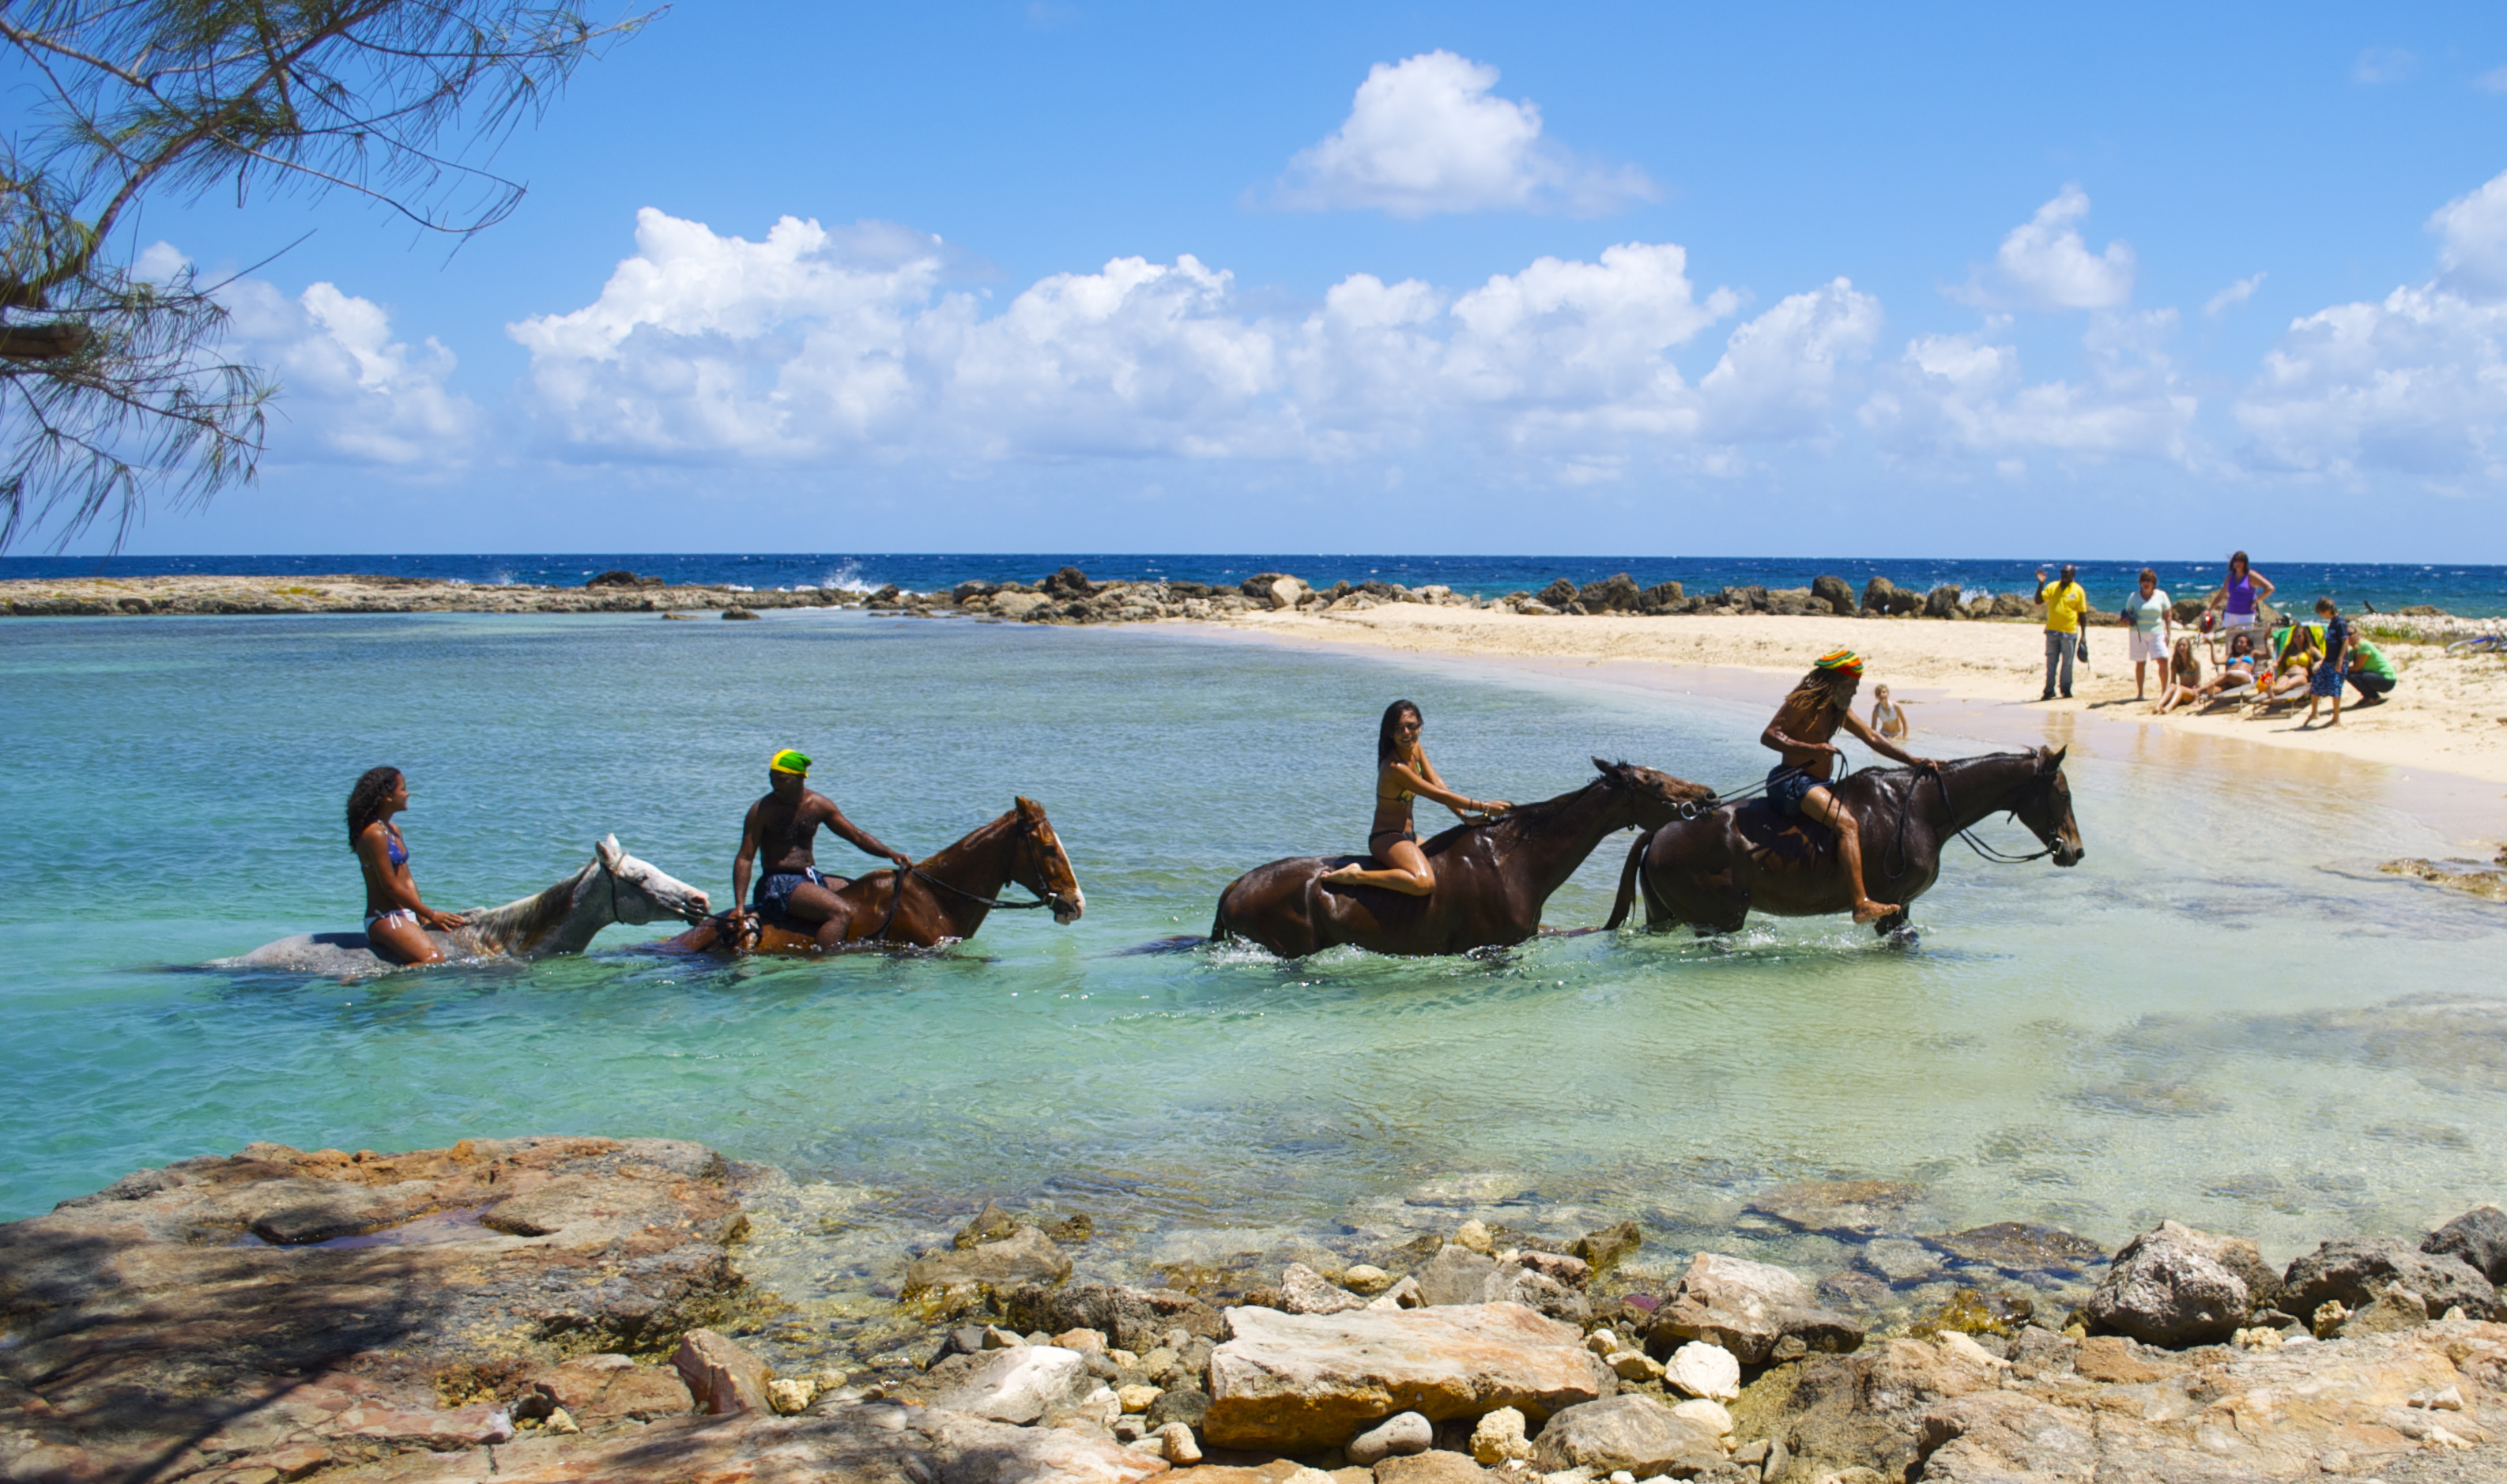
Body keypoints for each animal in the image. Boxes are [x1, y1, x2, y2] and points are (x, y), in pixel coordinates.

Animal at [1614, 742, 2086, 937]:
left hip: (1666, 916)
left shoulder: (1903, 907)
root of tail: (1660, 832)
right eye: (2063, 794)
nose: (2075, 851)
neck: (1920, 808)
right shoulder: (1893, 907)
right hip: (1718, 920)